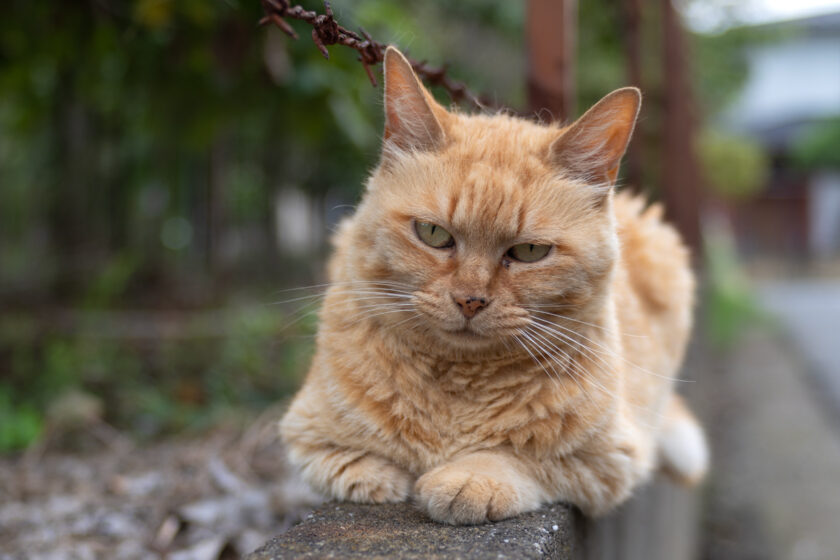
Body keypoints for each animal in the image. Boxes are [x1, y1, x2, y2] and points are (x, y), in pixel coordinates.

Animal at [278, 48, 704, 524]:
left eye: (530, 252)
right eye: (432, 233)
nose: (470, 300)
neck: (459, 383)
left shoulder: (608, 459)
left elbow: (521, 455)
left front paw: (469, 477)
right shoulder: (310, 438)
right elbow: (367, 470)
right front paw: (396, 478)